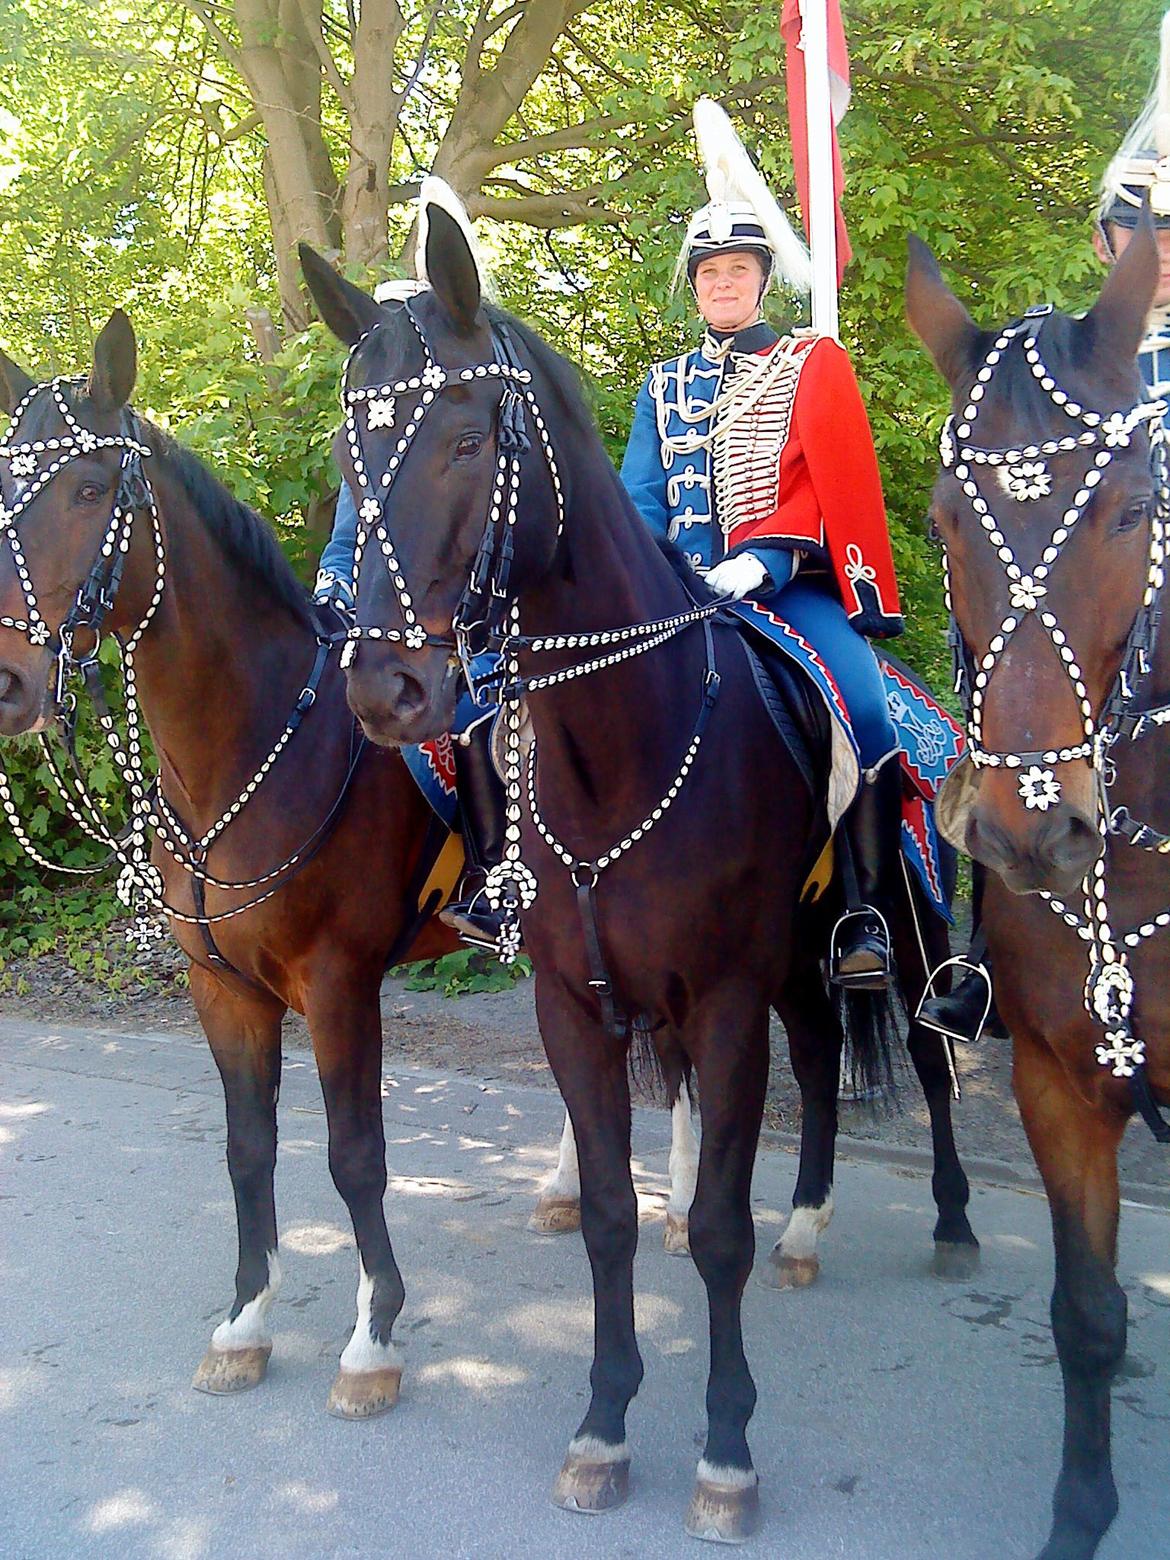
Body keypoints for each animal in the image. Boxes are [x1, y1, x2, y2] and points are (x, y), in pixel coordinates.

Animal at [0, 322, 461, 1422]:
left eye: (89, 488)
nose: (6, 678)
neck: (252, 748)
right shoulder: (223, 991)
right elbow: (248, 1151)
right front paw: (246, 1322)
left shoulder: (339, 988)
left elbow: (354, 1156)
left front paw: (373, 1338)